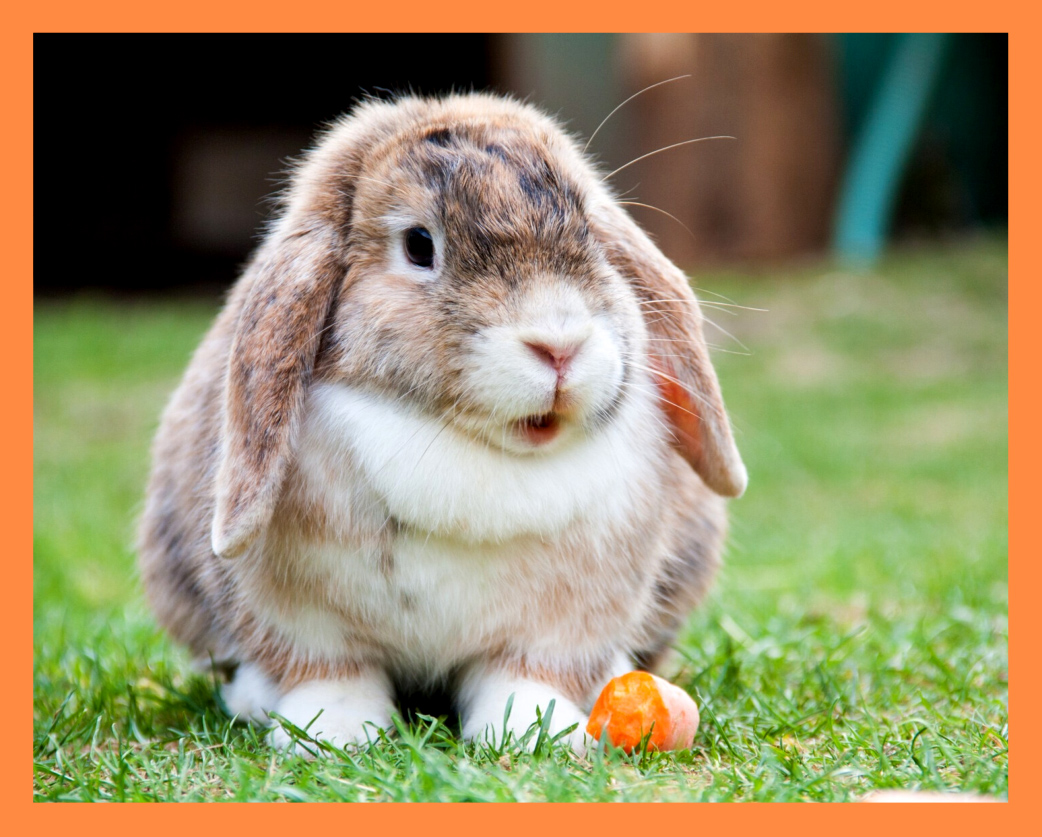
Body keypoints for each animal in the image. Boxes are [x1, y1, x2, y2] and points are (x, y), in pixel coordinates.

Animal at [138, 92, 747, 754]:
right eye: (419, 245)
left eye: (589, 228)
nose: (559, 345)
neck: (466, 446)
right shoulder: (302, 621)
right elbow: (330, 674)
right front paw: (333, 735)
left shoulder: (560, 625)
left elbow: (526, 676)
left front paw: (534, 734)